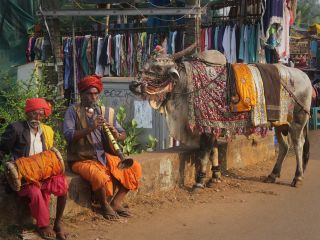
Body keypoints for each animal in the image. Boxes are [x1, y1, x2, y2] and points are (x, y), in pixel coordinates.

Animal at [130, 43, 312, 189]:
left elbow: (204, 154)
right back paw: (272, 175)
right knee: (284, 146)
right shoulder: (214, 126)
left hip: (298, 121)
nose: (134, 85)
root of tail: (305, 77)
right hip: (280, 124)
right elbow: (214, 152)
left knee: (298, 144)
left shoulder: (207, 127)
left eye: (158, 68)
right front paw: (215, 177)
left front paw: (199, 182)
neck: (188, 83)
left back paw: (297, 177)